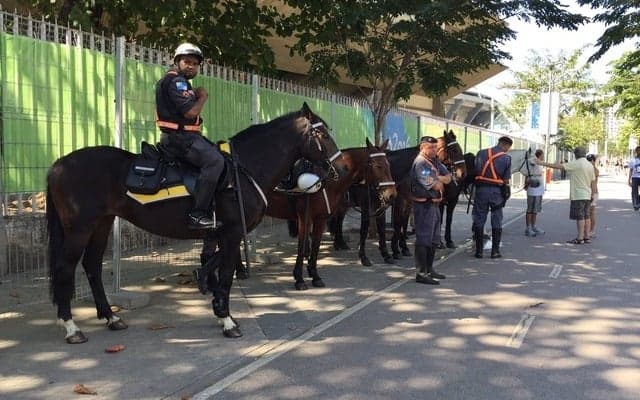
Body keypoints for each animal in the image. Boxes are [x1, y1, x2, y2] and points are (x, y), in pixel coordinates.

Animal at [46, 103, 347, 343]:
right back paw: (71, 328)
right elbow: (225, 273)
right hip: (80, 228)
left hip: (102, 224)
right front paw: (227, 320)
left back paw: (111, 317)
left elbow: (214, 262)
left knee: (92, 267)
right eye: (322, 134)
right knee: (65, 269)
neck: (243, 171)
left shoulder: (222, 233)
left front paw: (211, 294)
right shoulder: (232, 231)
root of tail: (58, 164)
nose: (342, 169)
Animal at [262, 138, 396, 290]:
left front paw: (315, 276)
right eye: (378, 166)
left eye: (388, 164)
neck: (325, 181)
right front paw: (300, 279)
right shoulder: (304, 218)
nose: (392, 194)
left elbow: (316, 246)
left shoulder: (320, 218)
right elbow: (302, 247)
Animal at [330, 130, 466, 266]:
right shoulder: (373, 205)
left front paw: (394, 251)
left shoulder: (401, 203)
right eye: (454, 150)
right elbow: (376, 228)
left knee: (339, 219)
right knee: (337, 218)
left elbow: (397, 225)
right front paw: (374, 254)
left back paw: (340, 243)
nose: (463, 173)